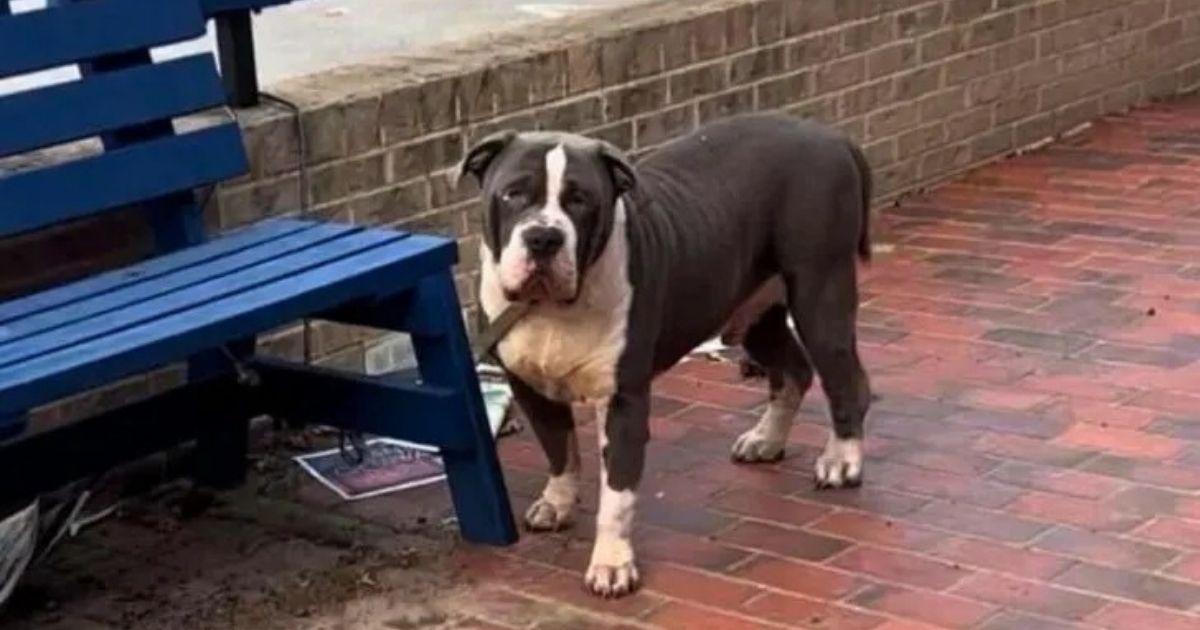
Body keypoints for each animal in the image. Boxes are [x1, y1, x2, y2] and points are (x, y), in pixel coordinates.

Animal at [458, 110, 873, 597]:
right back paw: (766, 440)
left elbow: (617, 495)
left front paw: (612, 564)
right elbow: (559, 449)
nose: (543, 237)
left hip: (819, 294)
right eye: (513, 194)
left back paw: (841, 460)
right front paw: (557, 502)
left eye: (580, 200)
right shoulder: (529, 387)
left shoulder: (623, 401)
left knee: (845, 381)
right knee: (793, 370)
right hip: (753, 312)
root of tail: (832, 136)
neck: (551, 309)